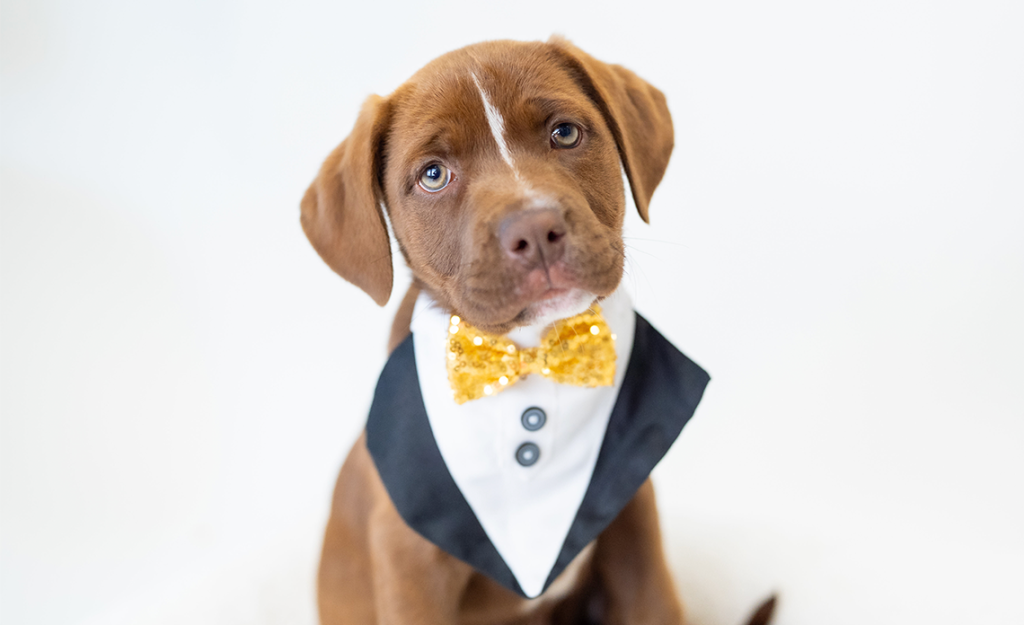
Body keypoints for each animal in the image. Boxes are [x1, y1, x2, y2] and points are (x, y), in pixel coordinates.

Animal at [299, 37, 770, 622]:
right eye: (433, 175)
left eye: (564, 133)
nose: (535, 229)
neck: (529, 352)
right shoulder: (410, 561)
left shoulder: (634, 518)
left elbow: (653, 603)